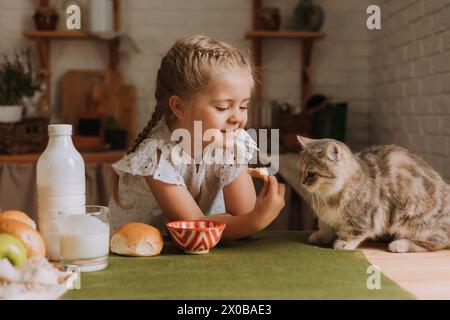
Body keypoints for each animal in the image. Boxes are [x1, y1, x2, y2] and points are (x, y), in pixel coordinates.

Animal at [296, 135, 450, 252]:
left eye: (311, 174)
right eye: (300, 171)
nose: (302, 182)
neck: (328, 196)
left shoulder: (363, 216)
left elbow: (353, 231)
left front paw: (344, 242)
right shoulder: (326, 217)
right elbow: (325, 228)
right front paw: (321, 236)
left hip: (414, 218)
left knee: (438, 241)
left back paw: (400, 244)